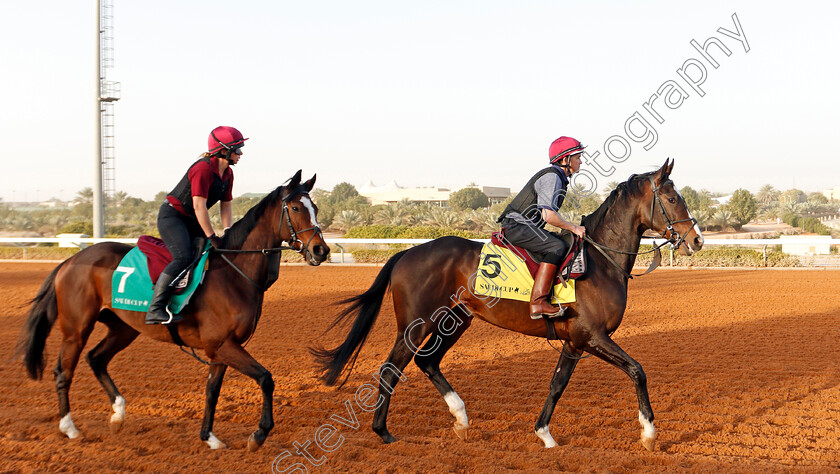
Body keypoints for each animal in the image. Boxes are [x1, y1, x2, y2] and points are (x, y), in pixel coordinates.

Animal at [15, 169, 328, 452]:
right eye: (296, 208)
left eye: (316, 208)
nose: (321, 250)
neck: (235, 273)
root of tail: (70, 261)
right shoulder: (223, 344)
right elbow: (266, 379)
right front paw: (259, 434)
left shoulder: (220, 348)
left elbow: (212, 391)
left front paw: (210, 438)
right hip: (76, 328)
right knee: (64, 370)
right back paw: (69, 428)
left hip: (123, 327)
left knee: (97, 358)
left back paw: (118, 414)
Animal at [314, 160, 704, 452]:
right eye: (672, 198)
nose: (697, 240)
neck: (599, 259)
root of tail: (407, 253)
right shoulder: (593, 337)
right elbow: (638, 370)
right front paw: (649, 434)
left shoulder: (574, 342)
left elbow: (557, 384)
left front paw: (545, 435)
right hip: (417, 324)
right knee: (391, 368)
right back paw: (383, 431)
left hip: (456, 320)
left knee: (428, 362)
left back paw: (461, 419)